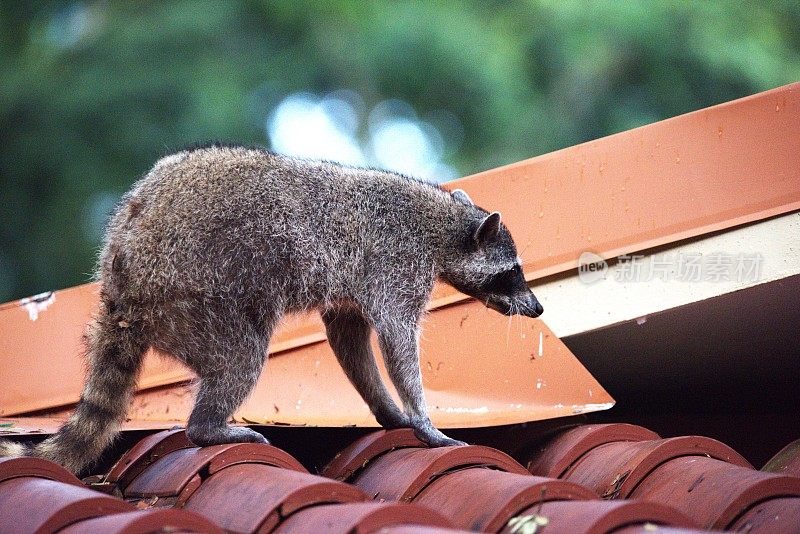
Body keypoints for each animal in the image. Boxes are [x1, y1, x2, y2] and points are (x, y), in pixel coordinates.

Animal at [0, 146, 544, 474]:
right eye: (513, 272)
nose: (537, 308)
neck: (444, 224)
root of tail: (120, 276)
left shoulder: (357, 287)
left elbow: (349, 339)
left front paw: (386, 408)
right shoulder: (395, 264)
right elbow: (396, 340)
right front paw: (422, 416)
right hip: (190, 297)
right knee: (241, 356)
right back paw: (209, 425)